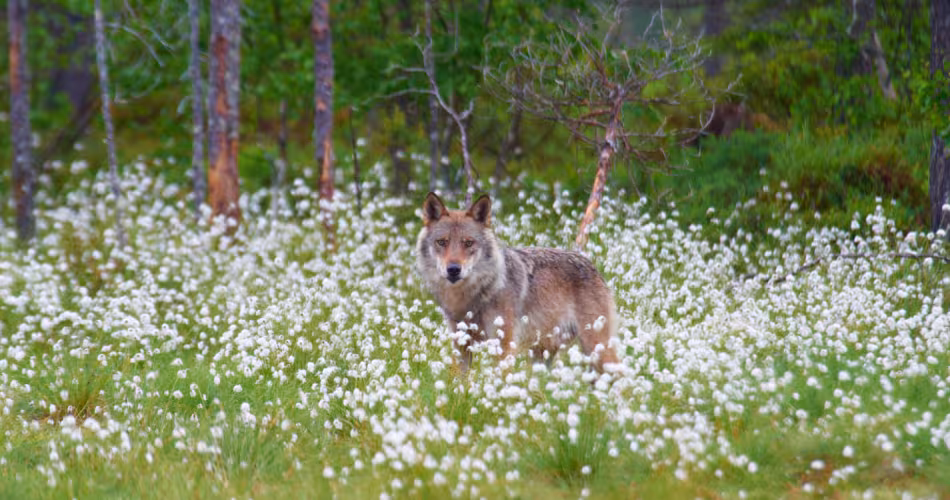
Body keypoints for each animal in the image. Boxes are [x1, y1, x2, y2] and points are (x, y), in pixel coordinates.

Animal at [415, 192, 620, 374]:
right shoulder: (461, 343)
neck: (469, 297)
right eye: (442, 242)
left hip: (597, 350)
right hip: (543, 355)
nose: (453, 269)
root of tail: (590, 263)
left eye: (468, 243)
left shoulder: (503, 345)